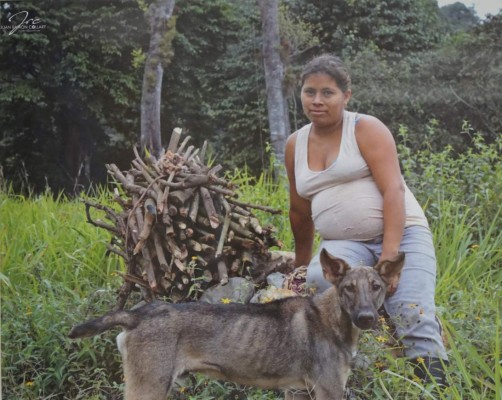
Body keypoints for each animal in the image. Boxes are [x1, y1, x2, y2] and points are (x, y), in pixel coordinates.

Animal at [67, 248, 404, 398]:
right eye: (349, 288)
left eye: (376, 287)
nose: (366, 318)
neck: (333, 320)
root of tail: (138, 314)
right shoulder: (329, 389)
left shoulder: (298, 391)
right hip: (149, 386)